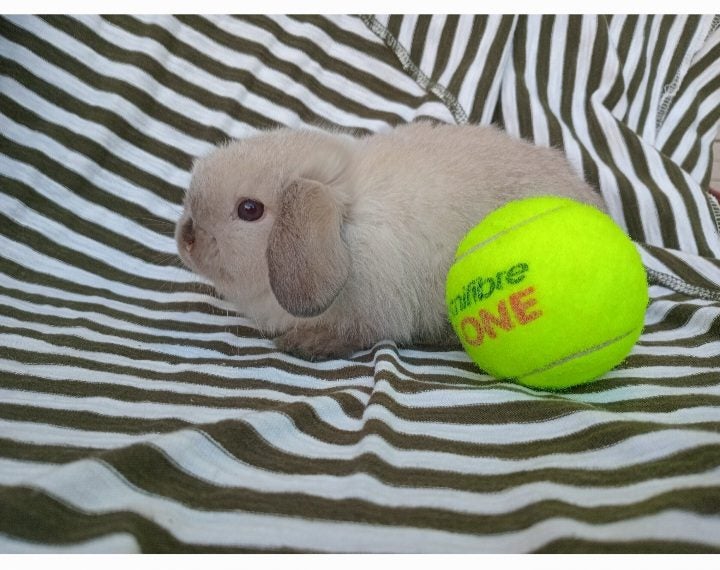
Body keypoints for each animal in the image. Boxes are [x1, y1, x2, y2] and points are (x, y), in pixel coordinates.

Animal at [175, 122, 606, 360]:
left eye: (249, 210)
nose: (187, 238)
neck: (345, 225)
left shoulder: (372, 312)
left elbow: (356, 334)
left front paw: (307, 343)